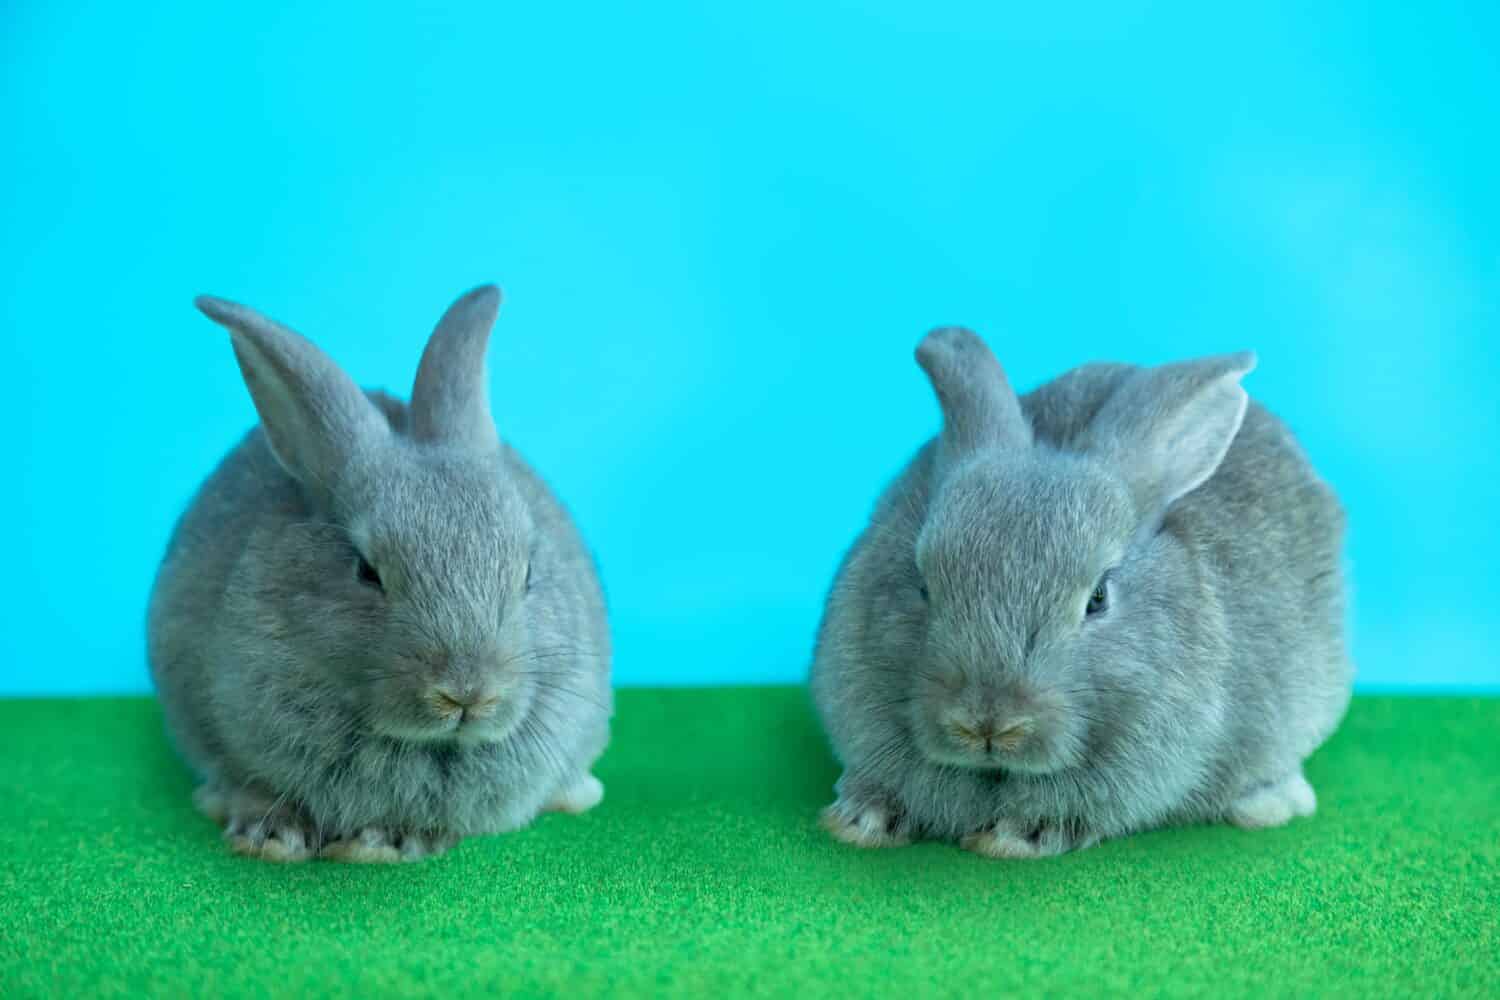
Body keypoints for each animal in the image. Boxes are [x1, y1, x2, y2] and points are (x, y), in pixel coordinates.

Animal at [816, 329, 1356, 863]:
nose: (987, 725)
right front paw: (861, 819)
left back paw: (1271, 802)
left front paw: (1013, 838)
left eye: (1098, 598)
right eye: (923, 583)